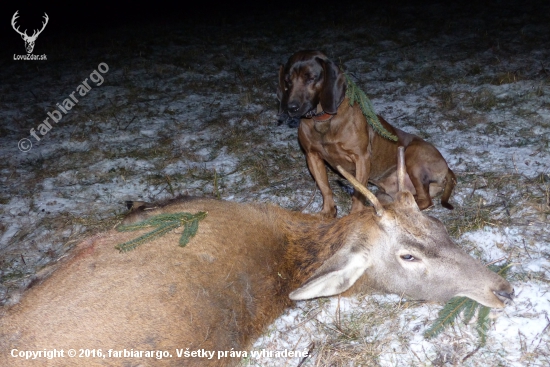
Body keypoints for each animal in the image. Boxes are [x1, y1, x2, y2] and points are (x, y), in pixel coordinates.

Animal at [278, 50, 460, 217]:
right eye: (287, 80)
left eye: (311, 78)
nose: (290, 108)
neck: (323, 119)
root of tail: (447, 168)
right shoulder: (312, 156)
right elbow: (324, 187)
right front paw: (327, 212)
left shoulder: (361, 158)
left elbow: (358, 192)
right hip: (386, 191)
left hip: (413, 155)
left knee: (424, 200)